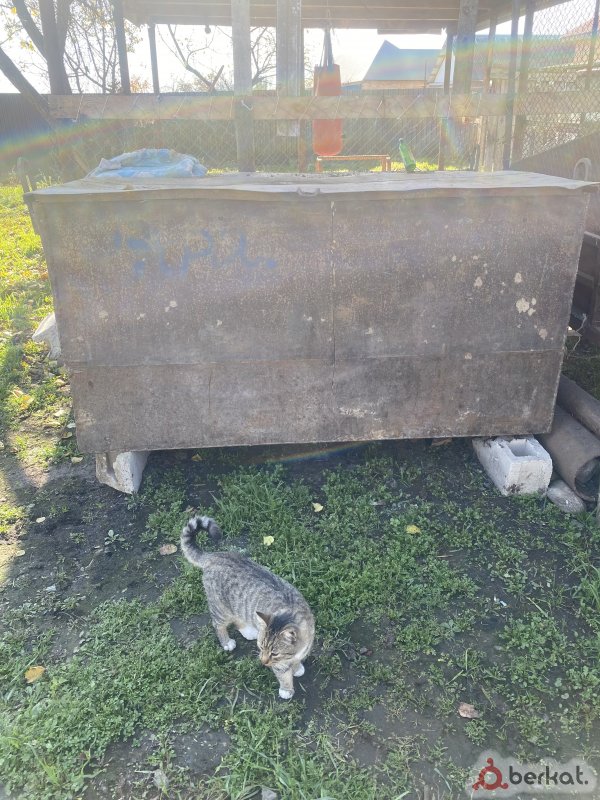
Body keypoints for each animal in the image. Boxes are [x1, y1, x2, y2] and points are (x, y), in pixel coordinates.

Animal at [180, 514, 315, 700]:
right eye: (261, 648)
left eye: (274, 653)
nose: (263, 661)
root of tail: (215, 555)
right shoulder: (279, 665)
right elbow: (283, 673)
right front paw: (286, 689)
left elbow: (294, 661)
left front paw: (297, 667)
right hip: (221, 609)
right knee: (218, 624)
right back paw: (227, 642)